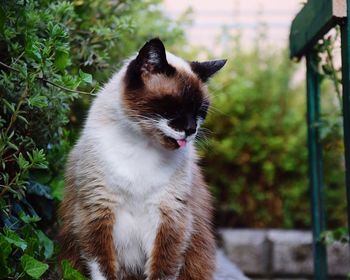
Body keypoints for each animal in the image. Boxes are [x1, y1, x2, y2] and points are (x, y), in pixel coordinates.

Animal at [58, 37, 227, 280]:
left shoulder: (169, 215)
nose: (191, 130)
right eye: (174, 107)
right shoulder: (98, 209)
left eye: (200, 112)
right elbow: (102, 267)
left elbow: (163, 269)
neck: (143, 145)